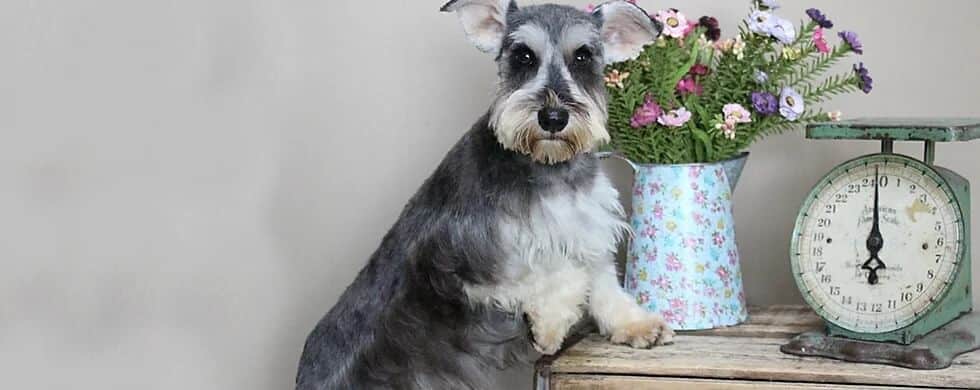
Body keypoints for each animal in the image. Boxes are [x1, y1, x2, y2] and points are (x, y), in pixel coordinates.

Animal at [294, 1, 668, 388]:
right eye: (523, 56)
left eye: (582, 56)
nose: (553, 117)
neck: (548, 164)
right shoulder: (463, 260)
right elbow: (557, 271)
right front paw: (549, 326)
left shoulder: (590, 227)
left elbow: (602, 280)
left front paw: (636, 324)